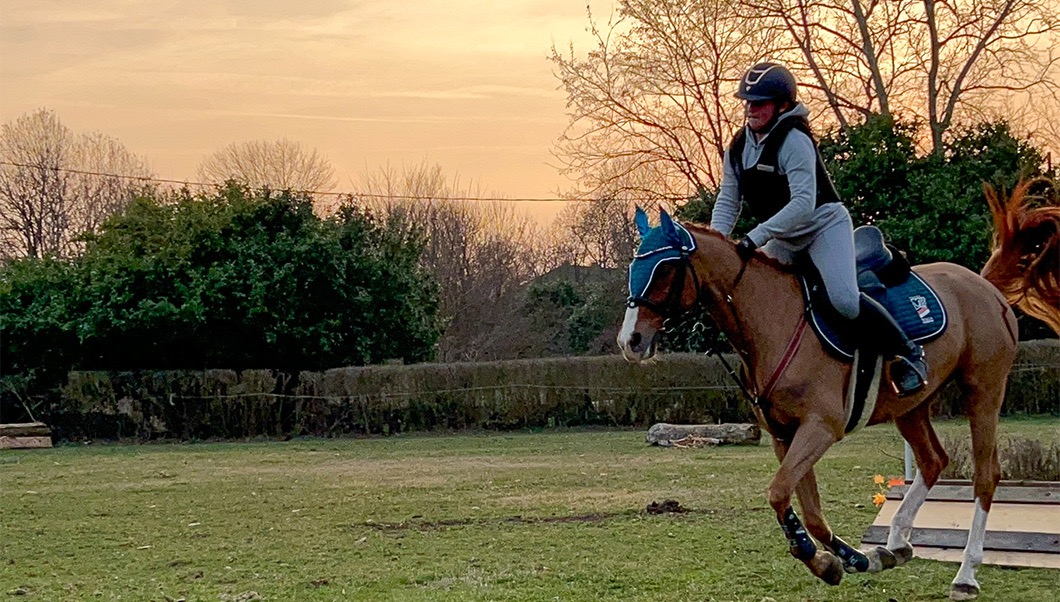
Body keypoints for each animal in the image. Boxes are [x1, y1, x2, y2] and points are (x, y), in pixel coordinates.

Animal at [615, 190, 1054, 600]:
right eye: (634, 267)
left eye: (665, 268)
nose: (629, 341)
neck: (771, 320)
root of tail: (982, 285)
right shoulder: (785, 436)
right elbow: (805, 509)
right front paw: (842, 560)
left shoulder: (820, 428)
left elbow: (779, 493)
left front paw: (835, 559)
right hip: (911, 406)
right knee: (933, 461)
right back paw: (895, 544)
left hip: (983, 391)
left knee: (984, 476)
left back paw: (965, 574)